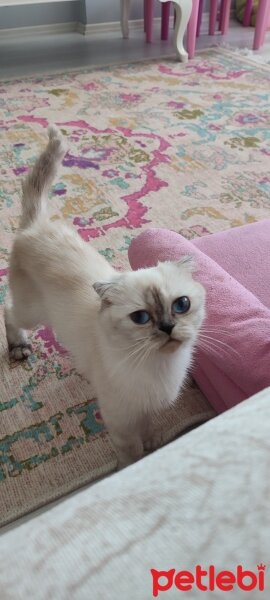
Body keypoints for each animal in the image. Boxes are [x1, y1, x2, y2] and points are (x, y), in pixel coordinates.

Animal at [4, 127, 206, 468]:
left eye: (181, 305)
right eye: (141, 317)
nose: (167, 328)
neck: (160, 368)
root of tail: (35, 226)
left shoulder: (144, 410)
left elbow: (148, 429)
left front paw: (154, 443)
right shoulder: (120, 419)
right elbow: (131, 452)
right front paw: (136, 465)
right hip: (31, 313)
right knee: (7, 310)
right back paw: (18, 348)